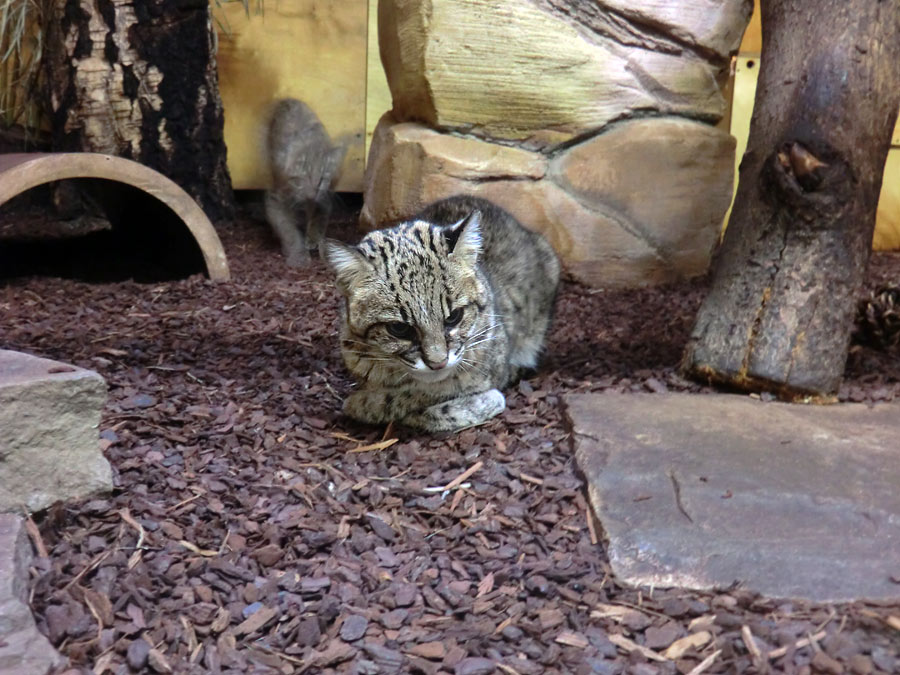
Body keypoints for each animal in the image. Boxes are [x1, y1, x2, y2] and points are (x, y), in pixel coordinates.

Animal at [266, 97, 346, 266]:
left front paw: (313, 238)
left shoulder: (325, 195)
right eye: (299, 179)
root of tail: (289, 100)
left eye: (321, 179)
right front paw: (298, 255)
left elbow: (319, 216)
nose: (311, 194)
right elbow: (286, 227)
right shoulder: (275, 198)